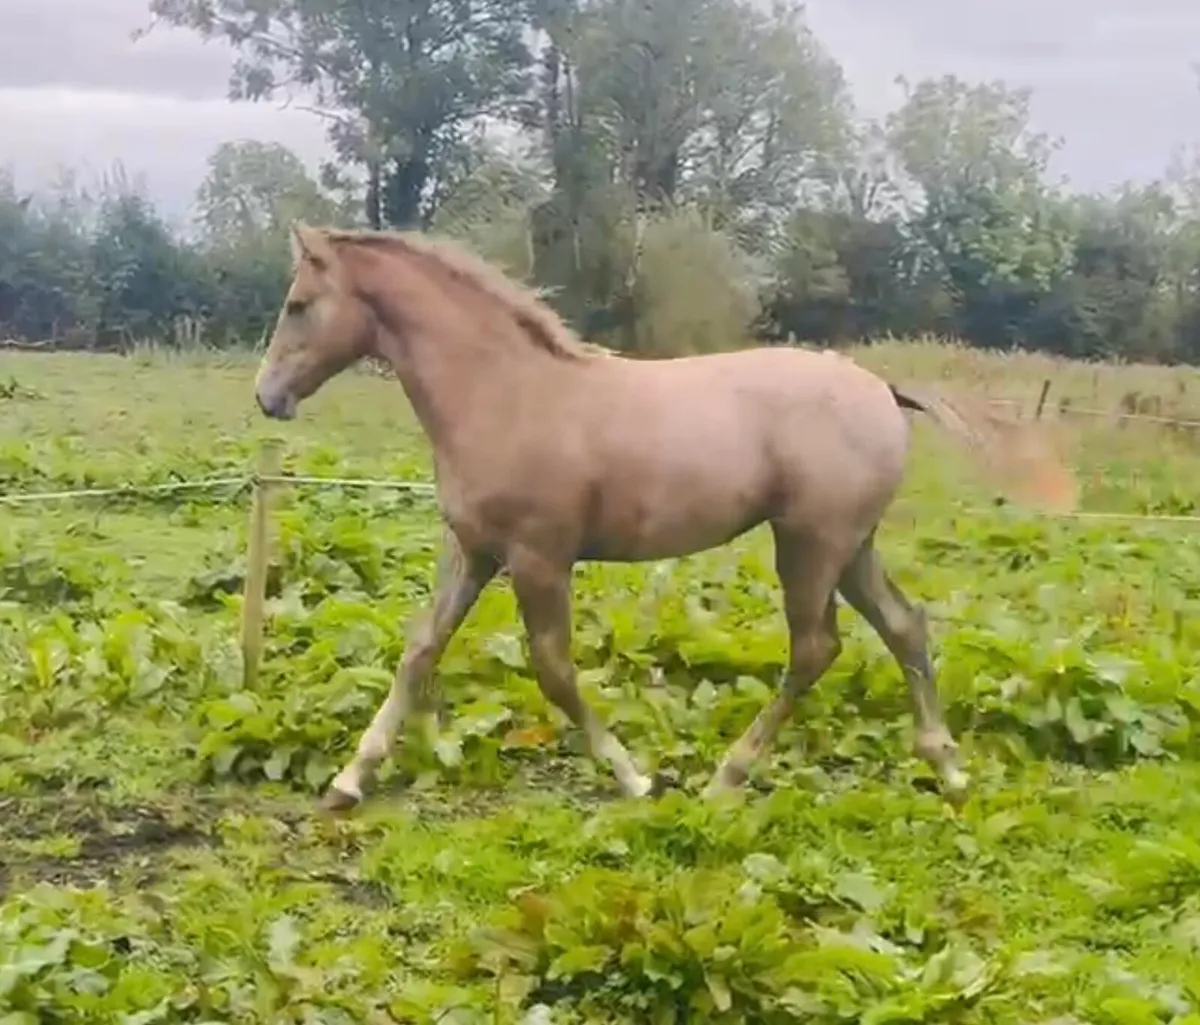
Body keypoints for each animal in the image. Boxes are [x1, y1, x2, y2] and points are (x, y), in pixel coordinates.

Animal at [253, 223, 1077, 812]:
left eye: (298, 304)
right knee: (905, 627)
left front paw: (635, 778)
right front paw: (348, 780)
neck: (505, 392)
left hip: (809, 544)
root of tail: (882, 387)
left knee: (816, 648)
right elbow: (421, 649)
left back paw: (726, 777)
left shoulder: (539, 557)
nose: (267, 396)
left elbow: (554, 670)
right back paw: (948, 769)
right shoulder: (476, 551)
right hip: (850, 547)